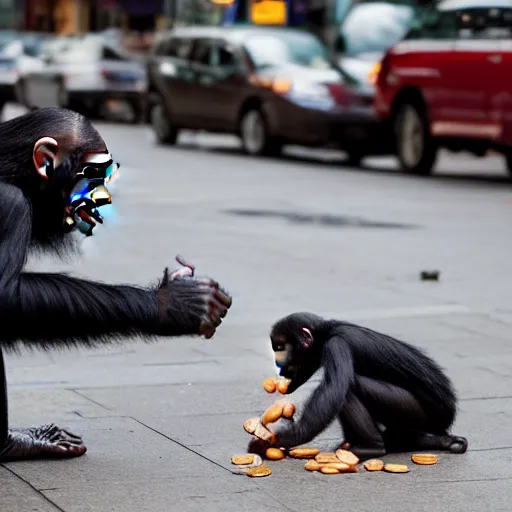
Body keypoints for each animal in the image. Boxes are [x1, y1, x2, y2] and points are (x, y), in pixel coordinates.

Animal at [0, 106, 232, 462]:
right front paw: (173, 304)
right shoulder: (10, 206)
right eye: (95, 174)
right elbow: (6, 297)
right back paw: (12, 443)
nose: (105, 199)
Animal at [268, 312, 468, 460]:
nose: (277, 363)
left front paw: (286, 436)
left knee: (350, 386)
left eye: (280, 347)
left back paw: (373, 447)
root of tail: (448, 416)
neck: (328, 331)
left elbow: (332, 389)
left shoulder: (336, 344)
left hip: (418, 414)